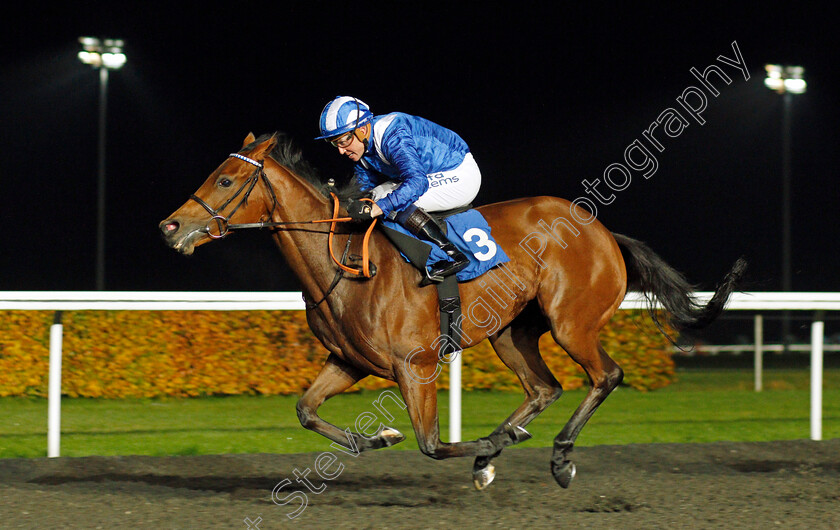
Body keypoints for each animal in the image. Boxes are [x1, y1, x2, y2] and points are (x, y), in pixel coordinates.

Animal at [161, 131, 744, 486]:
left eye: (227, 180)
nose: (170, 226)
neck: (345, 261)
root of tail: (602, 231)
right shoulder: (348, 361)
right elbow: (306, 411)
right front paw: (380, 437)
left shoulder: (414, 366)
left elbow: (431, 444)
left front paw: (485, 448)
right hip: (511, 332)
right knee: (544, 387)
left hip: (571, 323)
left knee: (606, 376)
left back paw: (558, 456)